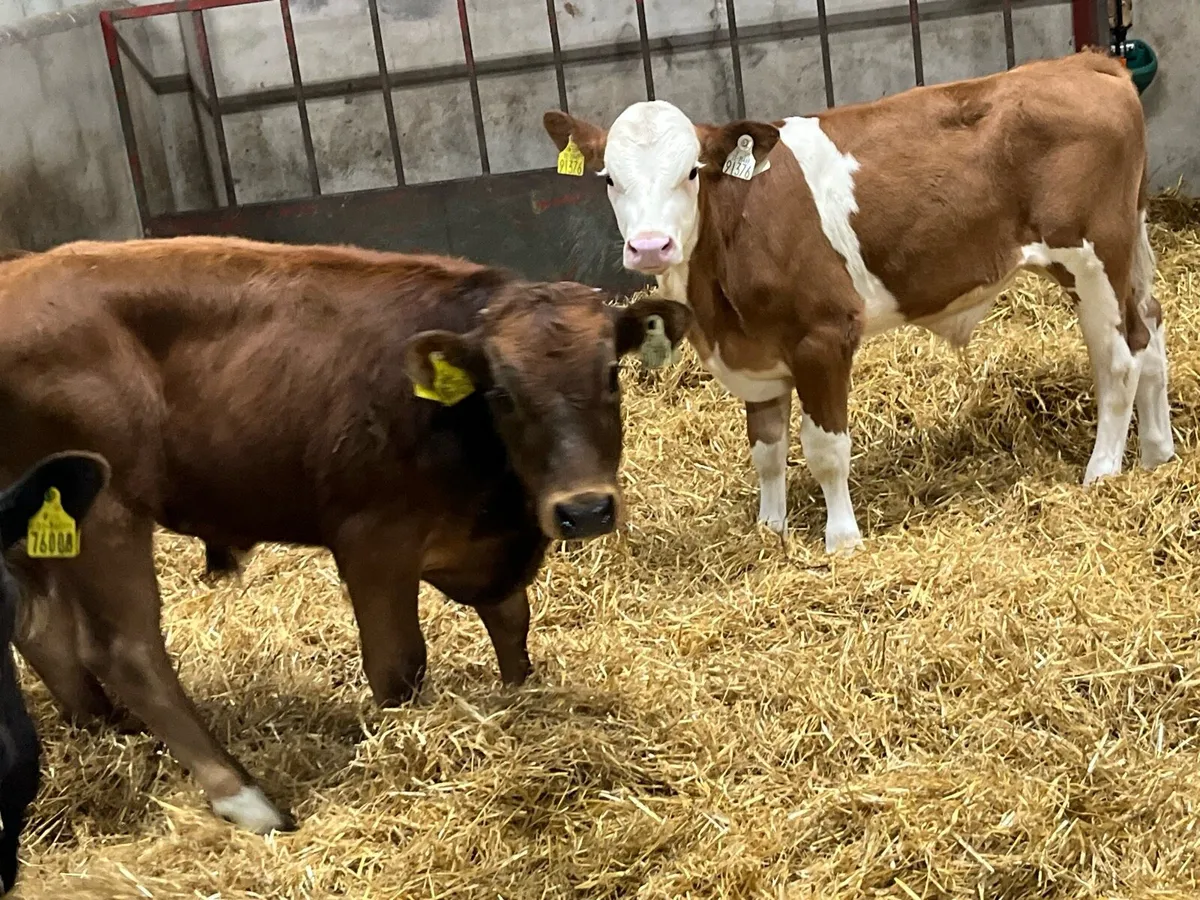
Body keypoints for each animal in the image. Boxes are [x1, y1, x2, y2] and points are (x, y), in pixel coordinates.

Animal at [0, 236, 690, 834]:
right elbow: (399, 665)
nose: (586, 510)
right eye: (501, 391)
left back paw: (105, 730)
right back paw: (246, 799)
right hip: (105, 509)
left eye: (611, 373)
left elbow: (511, 627)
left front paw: (525, 700)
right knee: (125, 650)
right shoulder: (373, 545)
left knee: (41, 629)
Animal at [543, 49, 1174, 554]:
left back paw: (1103, 471)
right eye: (608, 179)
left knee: (1119, 361)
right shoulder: (756, 356)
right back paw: (1157, 454)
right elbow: (766, 450)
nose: (651, 245)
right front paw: (769, 529)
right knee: (1151, 337)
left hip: (1093, 257)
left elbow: (824, 447)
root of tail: (1084, 63)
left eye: (692, 172)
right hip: (1129, 248)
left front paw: (841, 540)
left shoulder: (824, 335)